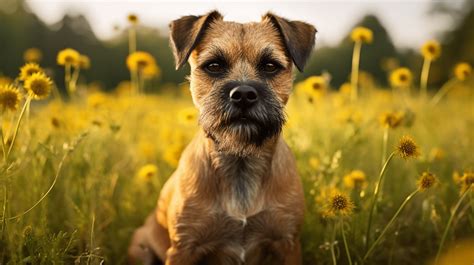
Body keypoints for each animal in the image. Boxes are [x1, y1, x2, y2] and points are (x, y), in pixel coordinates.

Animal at [128, 10, 316, 264]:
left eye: (270, 66)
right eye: (214, 65)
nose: (244, 94)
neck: (240, 160)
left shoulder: (288, 244)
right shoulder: (183, 248)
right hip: (141, 249)